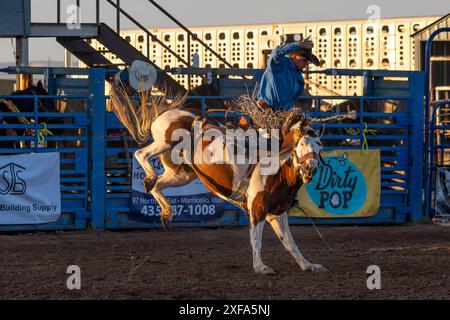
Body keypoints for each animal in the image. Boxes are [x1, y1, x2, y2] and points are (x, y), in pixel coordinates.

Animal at [109, 85, 330, 276]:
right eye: (301, 144)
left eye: (320, 146)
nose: (310, 168)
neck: (277, 169)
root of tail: (168, 113)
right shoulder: (257, 208)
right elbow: (256, 239)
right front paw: (260, 267)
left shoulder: (277, 213)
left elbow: (290, 243)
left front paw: (308, 265)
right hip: (165, 141)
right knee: (141, 154)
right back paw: (149, 177)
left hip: (182, 173)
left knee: (158, 186)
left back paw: (166, 213)